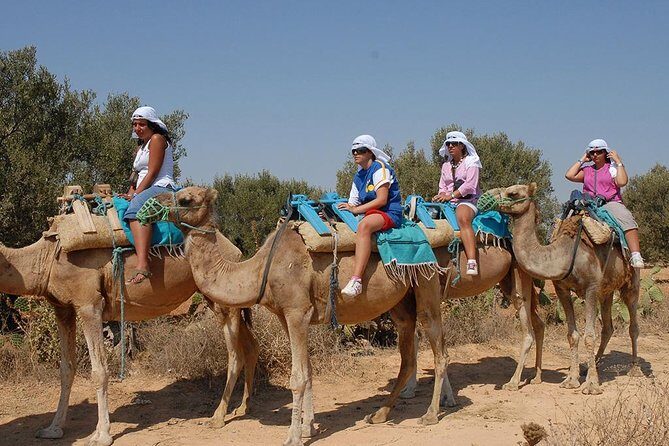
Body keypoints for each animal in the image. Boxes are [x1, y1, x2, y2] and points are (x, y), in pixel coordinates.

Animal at [0, 230, 258, 446]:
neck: (45, 259)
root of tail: (235, 250)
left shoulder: (89, 304)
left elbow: (99, 371)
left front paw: (101, 435)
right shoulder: (62, 308)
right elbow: (66, 369)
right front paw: (52, 429)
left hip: (222, 294)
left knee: (235, 354)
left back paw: (218, 417)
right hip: (219, 296)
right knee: (250, 345)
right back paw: (243, 407)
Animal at [153, 186, 545, 445]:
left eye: (186, 199)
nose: (153, 205)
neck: (262, 266)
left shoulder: (296, 312)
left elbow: (298, 377)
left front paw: (293, 436)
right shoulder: (287, 315)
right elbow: (309, 373)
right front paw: (308, 427)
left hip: (430, 283)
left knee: (440, 345)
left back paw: (432, 413)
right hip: (403, 300)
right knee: (409, 353)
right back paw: (381, 413)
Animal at [487, 183, 641, 395]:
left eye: (513, 193)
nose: (487, 197)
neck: (564, 254)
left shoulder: (591, 288)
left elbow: (589, 336)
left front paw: (591, 386)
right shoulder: (562, 288)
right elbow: (572, 335)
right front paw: (572, 379)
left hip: (630, 282)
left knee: (633, 324)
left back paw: (634, 369)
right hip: (607, 290)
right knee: (608, 327)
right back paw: (591, 366)